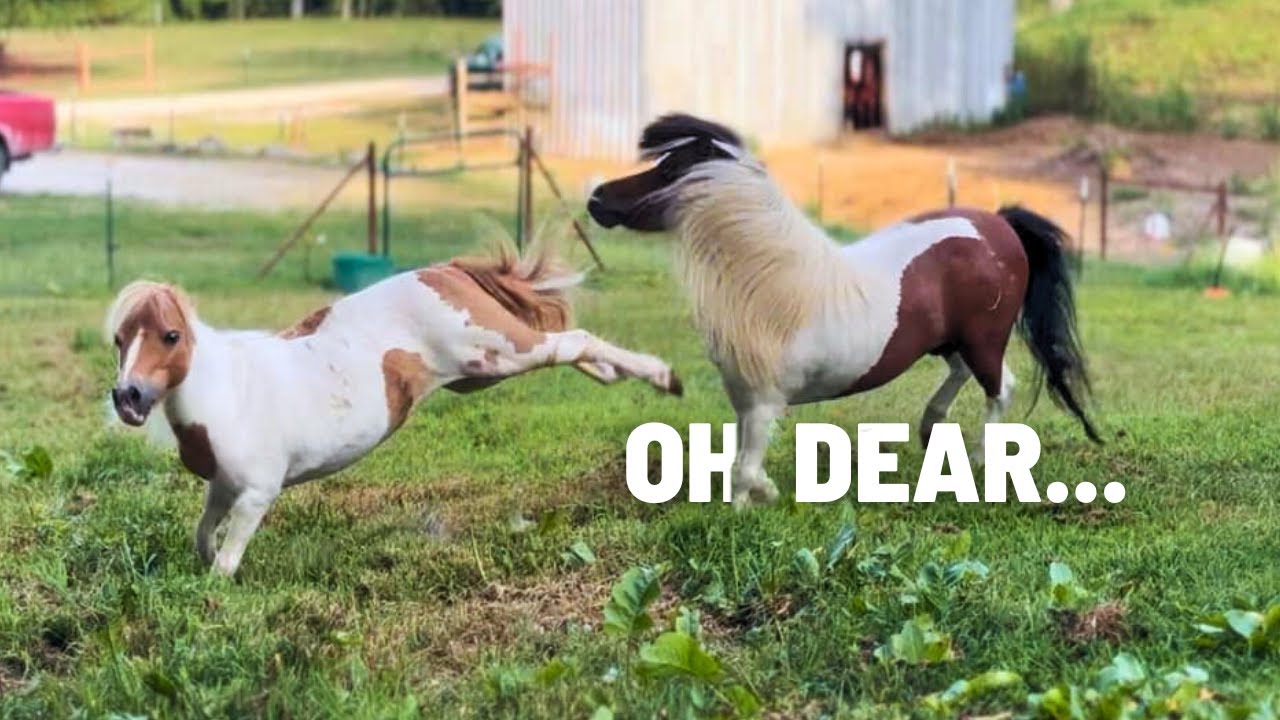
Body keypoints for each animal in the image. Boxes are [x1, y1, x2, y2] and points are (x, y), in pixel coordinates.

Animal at [104, 243, 683, 577]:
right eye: (119, 339)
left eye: (170, 335)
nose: (128, 397)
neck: (230, 392)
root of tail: (445, 272)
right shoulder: (223, 488)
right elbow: (204, 537)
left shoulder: (256, 493)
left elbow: (225, 560)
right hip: (482, 374)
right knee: (572, 347)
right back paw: (620, 375)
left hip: (497, 352)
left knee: (573, 340)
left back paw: (665, 376)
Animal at [586, 113, 1101, 507]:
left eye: (671, 170)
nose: (595, 199)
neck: (775, 286)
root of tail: (999, 223)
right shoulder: (745, 401)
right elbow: (740, 465)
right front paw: (760, 498)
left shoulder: (763, 402)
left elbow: (742, 472)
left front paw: (754, 506)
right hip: (949, 341)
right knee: (960, 375)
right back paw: (932, 427)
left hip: (984, 340)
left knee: (1001, 388)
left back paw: (976, 460)